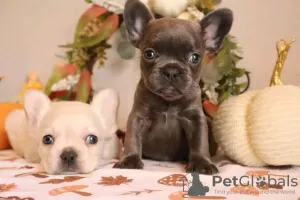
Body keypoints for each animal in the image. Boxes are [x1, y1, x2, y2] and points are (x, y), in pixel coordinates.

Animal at [113, 0, 233, 174]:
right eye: (149, 54)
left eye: (195, 57)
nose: (171, 71)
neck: (168, 101)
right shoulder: (138, 116)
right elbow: (132, 138)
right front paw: (130, 160)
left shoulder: (195, 119)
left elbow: (199, 142)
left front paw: (202, 163)